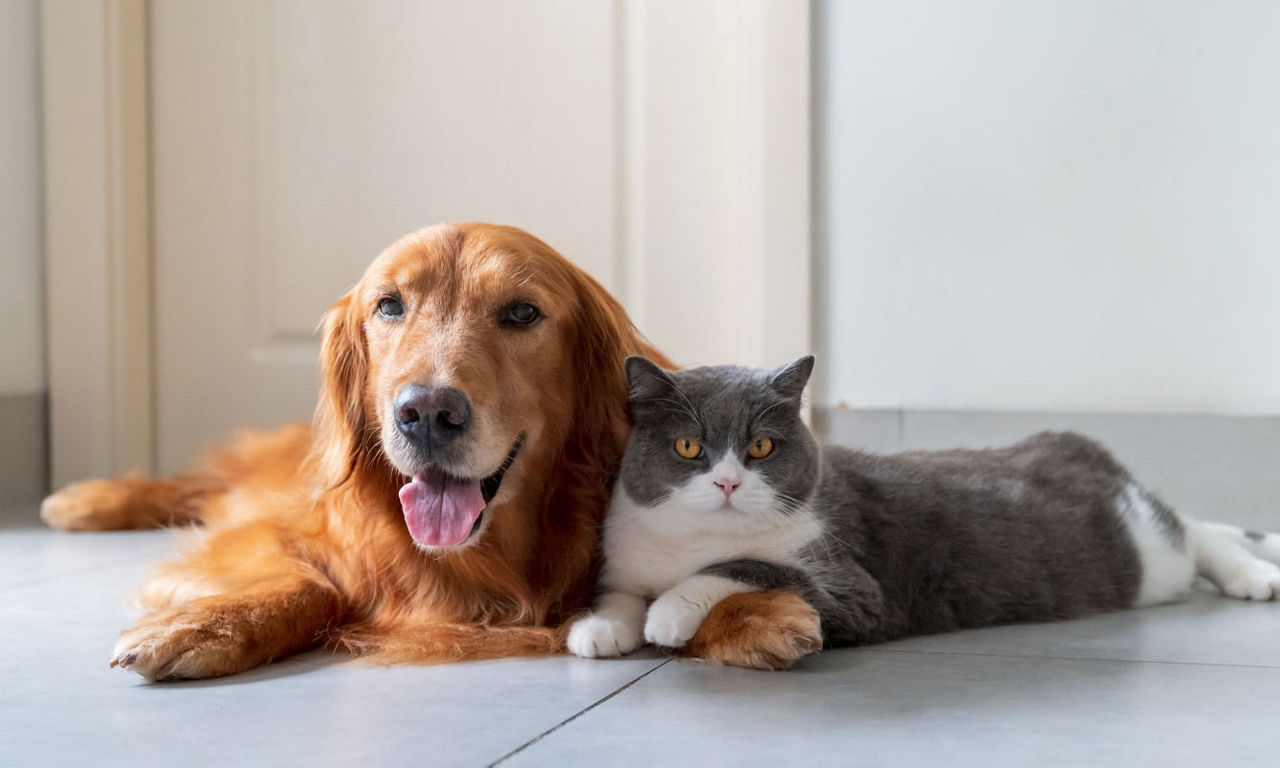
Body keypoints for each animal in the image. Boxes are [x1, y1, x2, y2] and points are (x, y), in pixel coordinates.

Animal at [42, 220, 829, 675]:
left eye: (522, 312)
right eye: (388, 305)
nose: (425, 412)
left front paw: (752, 612)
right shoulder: (277, 533)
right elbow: (312, 583)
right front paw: (204, 623)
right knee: (199, 483)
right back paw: (87, 499)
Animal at [568, 353, 1280, 660]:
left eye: (761, 446)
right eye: (689, 446)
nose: (726, 484)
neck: (691, 539)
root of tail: (1074, 445)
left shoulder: (854, 586)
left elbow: (745, 567)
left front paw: (669, 613)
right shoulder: (626, 556)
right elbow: (619, 595)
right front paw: (599, 630)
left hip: (1143, 548)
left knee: (1187, 526)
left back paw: (1254, 574)